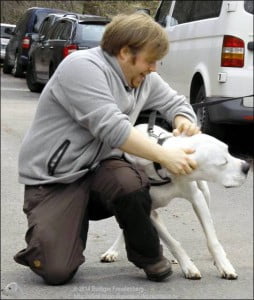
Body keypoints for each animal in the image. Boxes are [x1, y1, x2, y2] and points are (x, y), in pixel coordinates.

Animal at [99, 123, 250, 280]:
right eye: (223, 162)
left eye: (228, 151)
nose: (247, 167)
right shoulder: (150, 212)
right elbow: (172, 242)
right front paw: (188, 266)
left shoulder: (197, 198)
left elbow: (211, 238)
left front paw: (224, 265)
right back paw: (112, 250)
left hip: (205, 192)